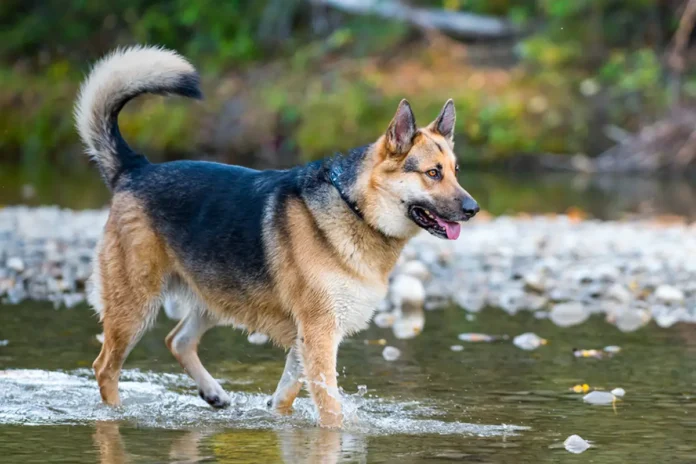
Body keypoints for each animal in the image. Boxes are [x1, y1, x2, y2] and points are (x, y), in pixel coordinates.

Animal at [76, 45, 478, 426]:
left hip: (217, 295)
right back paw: (116, 414)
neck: (356, 208)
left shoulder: (306, 340)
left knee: (178, 340)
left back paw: (214, 393)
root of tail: (135, 168)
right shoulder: (319, 335)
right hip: (135, 305)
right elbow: (330, 409)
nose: (473, 208)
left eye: (456, 171)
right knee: (105, 367)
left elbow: (286, 395)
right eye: (432, 173)